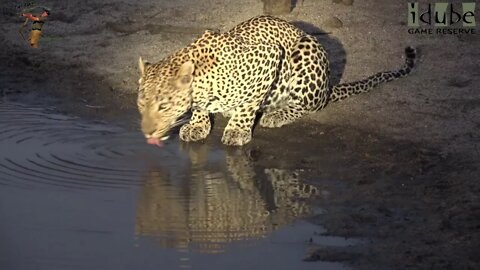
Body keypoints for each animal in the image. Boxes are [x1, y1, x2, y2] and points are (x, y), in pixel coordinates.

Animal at [136, 15, 416, 146]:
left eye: (163, 106)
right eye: (141, 105)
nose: (146, 132)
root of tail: (327, 87)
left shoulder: (269, 58)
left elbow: (247, 104)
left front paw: (237, 130)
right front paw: (197, 124)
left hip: (305, 51)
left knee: (309, 106)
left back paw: (276, 114)